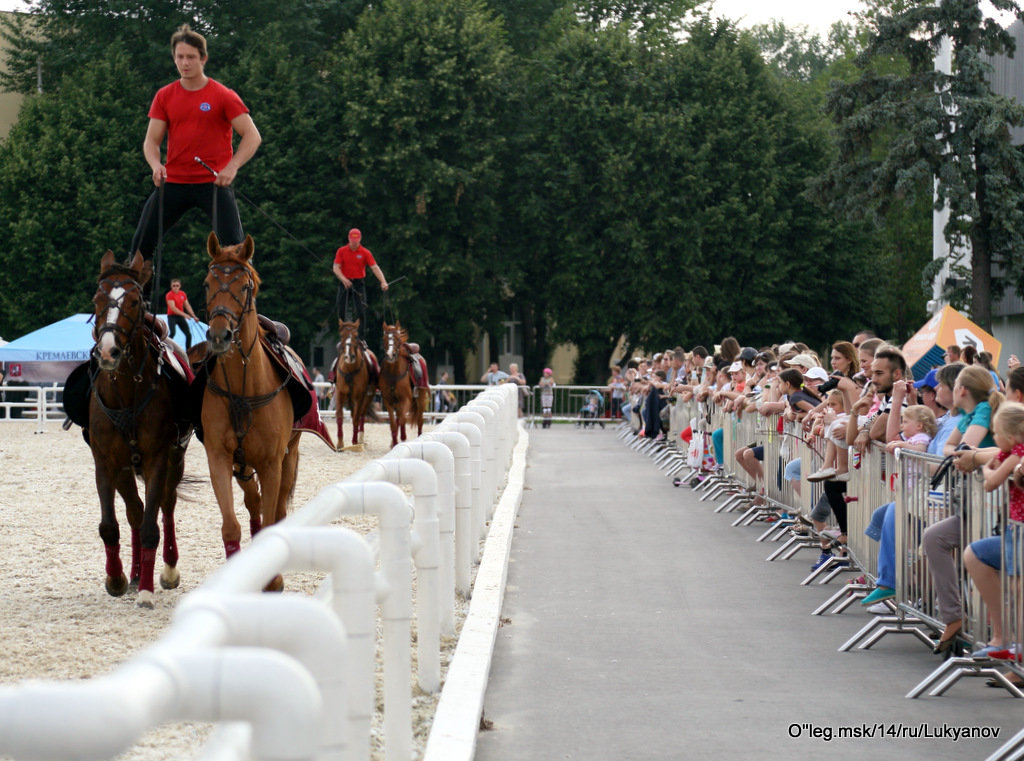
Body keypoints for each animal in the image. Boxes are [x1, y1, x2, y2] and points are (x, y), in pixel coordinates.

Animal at [90, 249, 190, 606]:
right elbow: (110, 524)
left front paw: (146, 590)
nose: (108, 351)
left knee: (165, 506)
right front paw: (117, 578)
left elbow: (151, 526)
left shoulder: (158, 458)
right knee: (135, 510)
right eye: (96, 300)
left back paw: (166, 570)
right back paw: (133, 574)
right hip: (124, 469)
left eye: (135, 302)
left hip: (175, 459)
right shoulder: (106, 462)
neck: (125, 392)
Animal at [198, 235, 296, 594]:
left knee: (276, 510)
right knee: (253, 503)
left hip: (289, 458)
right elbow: (231, 525)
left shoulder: (272, 462)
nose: (219, 334)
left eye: (244, 286)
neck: (245, 388)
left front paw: (274, 579)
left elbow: (271, 520)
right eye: (208, 283)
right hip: (242, 466)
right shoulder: (219, 457)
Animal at [333, 317, 378, 448]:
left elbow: (356, 418)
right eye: (342, 335)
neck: (350, 370)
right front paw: (340, 443)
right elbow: (340, 416)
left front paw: (354, 441)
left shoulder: (359, 397)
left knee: (361, 414)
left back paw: (360, 438)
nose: (349, 356)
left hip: (368, 396)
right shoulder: (339, 393)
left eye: (356, 336)